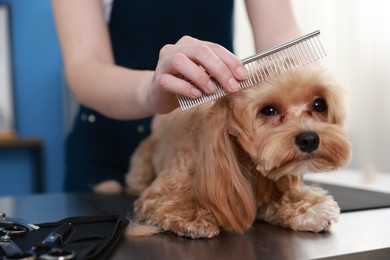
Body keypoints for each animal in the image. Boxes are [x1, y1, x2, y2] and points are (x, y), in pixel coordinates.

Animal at [96, 64, 352, 238]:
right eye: (268, 110)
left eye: (319, 104)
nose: (309, 139)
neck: (241, 160)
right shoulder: (157, 194)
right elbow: (171, 202)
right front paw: (193, 216)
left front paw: (310, 208)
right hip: (142, 164)